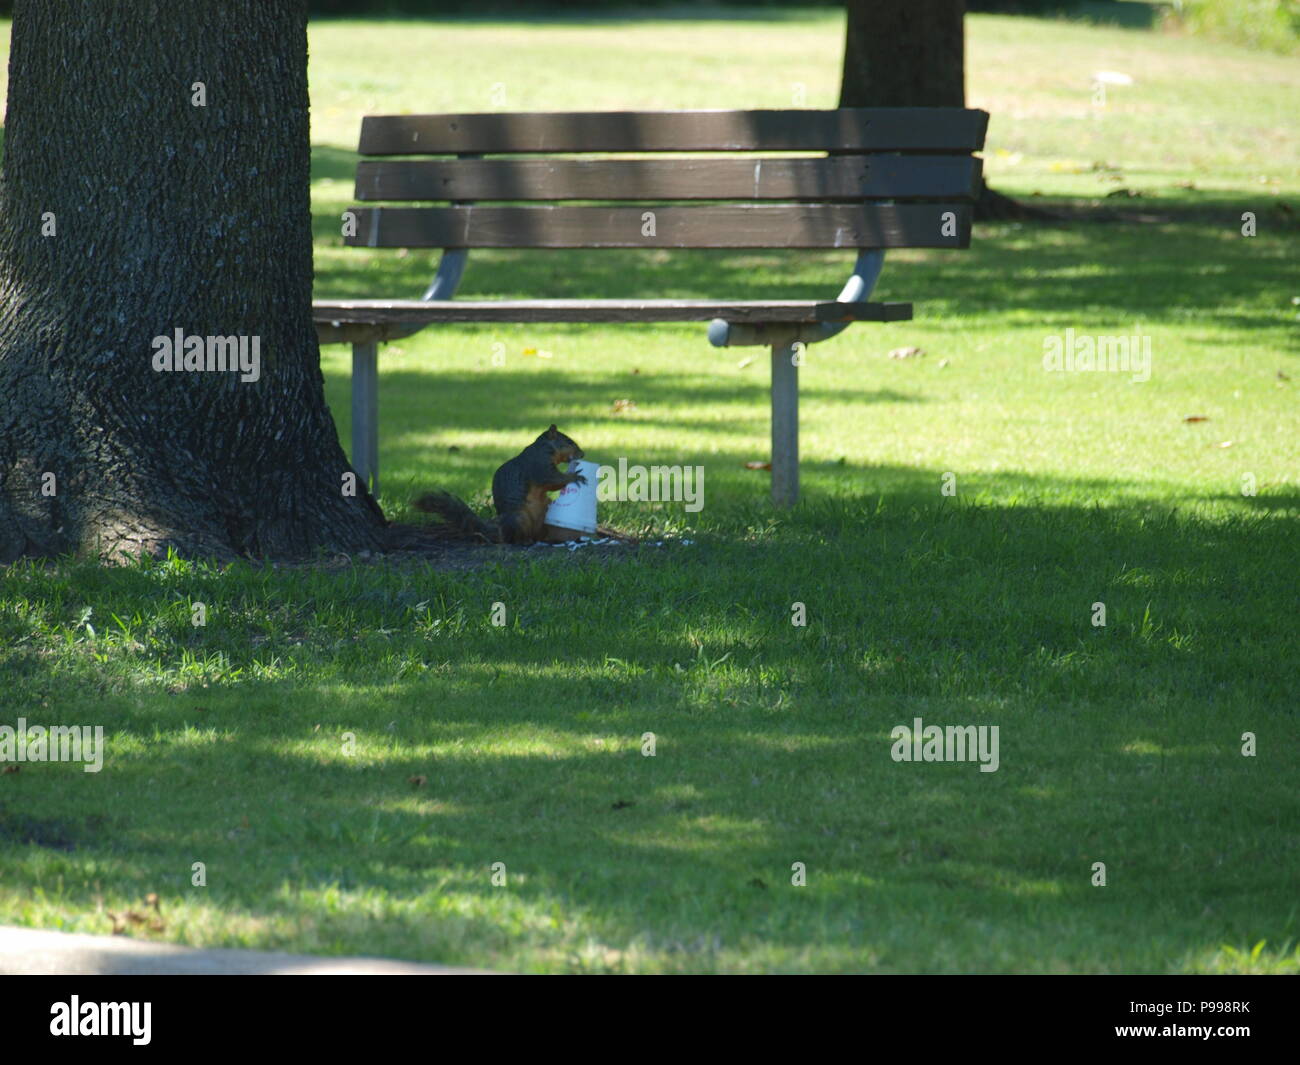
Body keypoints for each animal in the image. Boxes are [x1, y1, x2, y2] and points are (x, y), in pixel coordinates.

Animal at [413, 424, 586, 545]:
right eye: (569, 441)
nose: (583, 454)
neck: (545, 447)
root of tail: (501, 532)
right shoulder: (538, 464)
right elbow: (550, 479)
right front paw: (574, 476)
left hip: (543, 514)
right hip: (518, 518)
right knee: (514, 538)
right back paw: (524, 541)